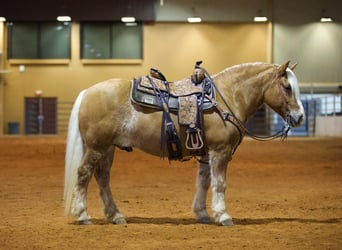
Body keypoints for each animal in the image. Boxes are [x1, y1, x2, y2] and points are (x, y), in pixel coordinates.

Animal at [64, 61, 304, 227]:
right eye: (286, 87)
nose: (300, 117)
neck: (227, 96)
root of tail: (87, 92)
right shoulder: (221, 151)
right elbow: (220, 184)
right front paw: (223, 215)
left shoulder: (207, 152)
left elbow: (204, 182)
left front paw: (202, 214)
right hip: (97, 147)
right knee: (84, 174)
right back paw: (83, 215)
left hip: (107, 148)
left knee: (102, 177)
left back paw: (116, 215)